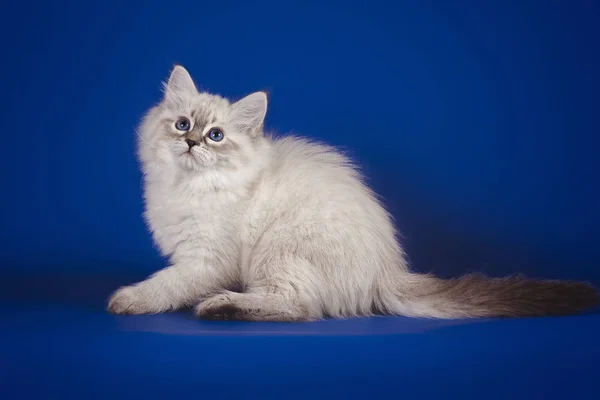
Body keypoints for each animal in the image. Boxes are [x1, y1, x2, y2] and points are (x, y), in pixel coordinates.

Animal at [106, 65, 596, 322]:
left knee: (297, 308)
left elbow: (166, 285)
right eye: (183, 125)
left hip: (278, 249)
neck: (188, 187)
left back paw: (220, 306)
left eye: (216, 136)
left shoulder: (206, 260)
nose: (191, 143)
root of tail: (388, 271)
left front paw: (127, 300)